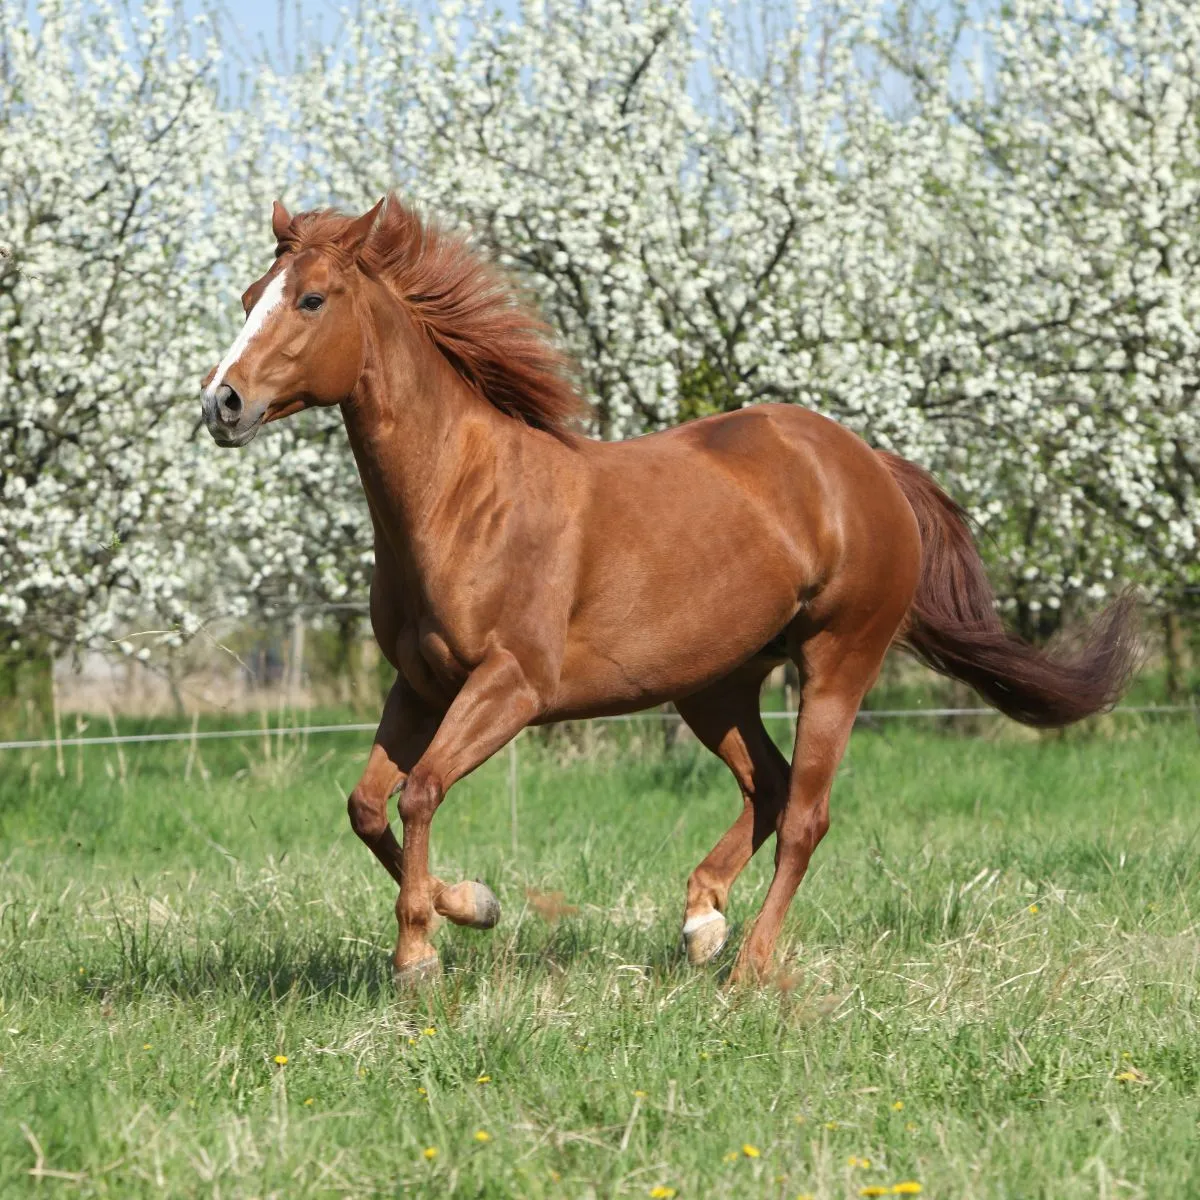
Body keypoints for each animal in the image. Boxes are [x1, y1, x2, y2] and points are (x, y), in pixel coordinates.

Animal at [200, 195, 1138, 986]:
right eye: (249, 296)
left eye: (311, 299)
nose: (222, 404)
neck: (464, 501)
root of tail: (867, 465)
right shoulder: (421, 684)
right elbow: (367, 806)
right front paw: (469, 907)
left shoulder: (511, 685)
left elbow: (422, 790)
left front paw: (422, 955)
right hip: (713, 682)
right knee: (769, 785)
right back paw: (701, 922)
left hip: (839, 658)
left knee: (807, 813)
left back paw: (749, 966)